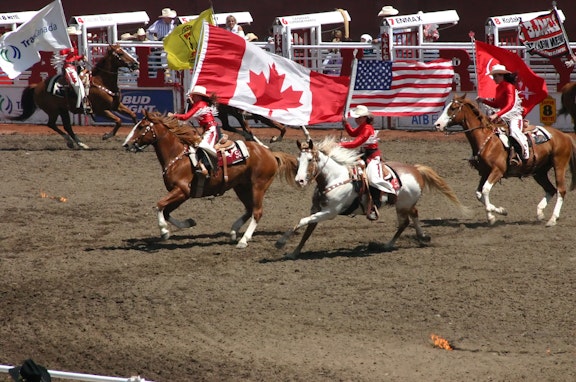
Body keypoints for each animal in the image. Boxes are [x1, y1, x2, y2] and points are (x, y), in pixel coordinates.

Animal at [10, 43, 139, 148]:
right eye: (120, 53)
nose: (135, 64)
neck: (102, 82)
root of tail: (37, 86)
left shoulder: (116, 106)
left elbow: (132, 115)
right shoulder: (101, 110)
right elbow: (118, 121)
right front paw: (106, 136)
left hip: (62, 109)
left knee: (67, 126)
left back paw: (80, 143)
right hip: (53, 110)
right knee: (52, 124)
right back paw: (72, 142)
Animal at [124, 109, 300, 249]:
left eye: (141, 126)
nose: (126, 144)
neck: (177, 156)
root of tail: (270, 153)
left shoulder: (182, 190)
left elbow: (160, 205)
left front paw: (164, 231)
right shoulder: (182, 194)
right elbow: (166, 211)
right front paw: (189, 223)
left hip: (258, 186)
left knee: (257, 212)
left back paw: (243, 240)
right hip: (241, 187)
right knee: (249, 209)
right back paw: (234, 232)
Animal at [274, 133, 468, 258]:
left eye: (310, 160)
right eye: (298, 160)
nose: (299, 180)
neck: (334, 178)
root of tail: (416, 170)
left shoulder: (329, 213)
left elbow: (302, 221)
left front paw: (280, 243)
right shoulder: (316, 209)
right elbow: (307, 228)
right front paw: (293, 252)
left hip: (403, 205)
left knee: (405, 221)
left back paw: (390, 244)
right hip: (405, 205)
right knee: (412, 216)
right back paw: (419, 238)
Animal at [436, 95, 576, 227]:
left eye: (453, 108)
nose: (437, 125)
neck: (488, 140)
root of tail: (565, 135)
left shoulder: (497, 171)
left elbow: (485, 190)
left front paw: (491, 217)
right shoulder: (485, 172)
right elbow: (479, 194)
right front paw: (501, 211)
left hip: (559, 165)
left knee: (560, 190)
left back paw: (552, 219)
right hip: (539, 172)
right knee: (550, 189)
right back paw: (540, 213)